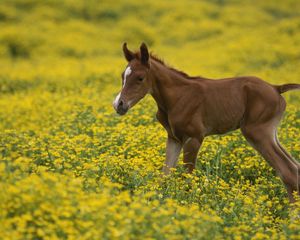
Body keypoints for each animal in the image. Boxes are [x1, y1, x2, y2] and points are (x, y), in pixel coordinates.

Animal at [113, 42, 300, 202]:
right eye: (122, 76)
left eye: (140, 78)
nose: (119, 104)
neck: (177, 96)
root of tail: (276, 88)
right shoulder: (174, 138)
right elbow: (165, 175)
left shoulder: (194, 138)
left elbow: (187, 177)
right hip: (269, 134)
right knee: (294, 168)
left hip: (258, 133)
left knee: (288, 171)